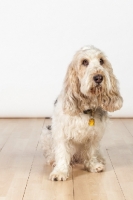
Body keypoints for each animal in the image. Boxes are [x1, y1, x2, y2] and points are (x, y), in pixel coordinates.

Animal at [40, 45, 122, 181]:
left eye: (101, 61)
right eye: (84, 62)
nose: (99, 77)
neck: (87, 107)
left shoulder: (94, 134)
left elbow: (91, 152)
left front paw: (93, 165)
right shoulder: (61, 133)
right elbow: (62, 153)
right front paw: (60, 172)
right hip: (46, 133)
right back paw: (53, 161)